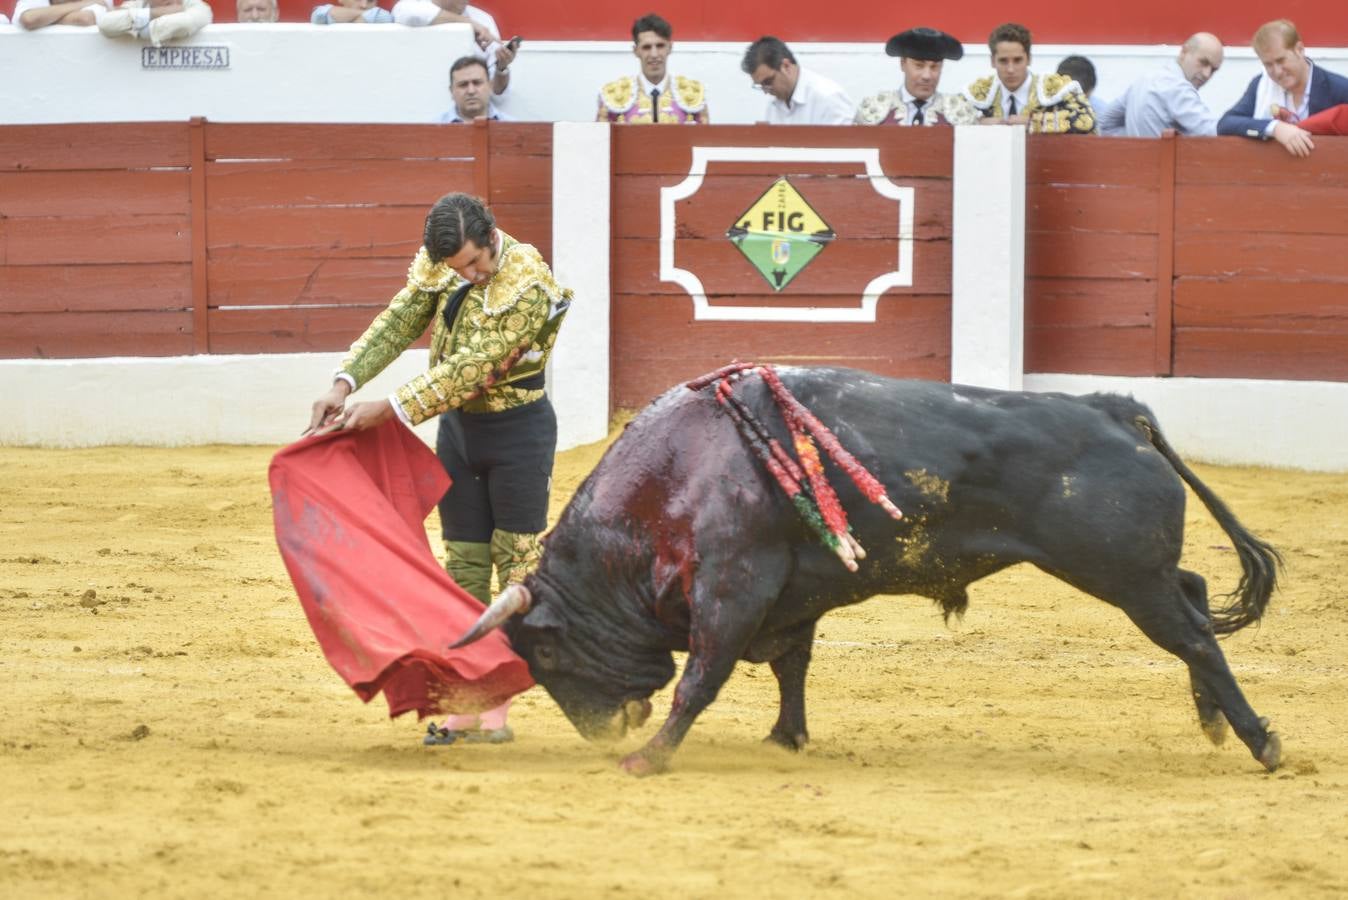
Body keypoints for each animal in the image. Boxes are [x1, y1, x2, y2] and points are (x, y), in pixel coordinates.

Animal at [455, 366, 1283, 776]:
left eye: (546, 648)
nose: (600, 732)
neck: (679, 472)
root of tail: (1113, 408)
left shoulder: (733, 589)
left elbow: (703, 678)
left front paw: (648, 758)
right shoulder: (789, 598)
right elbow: (792, 665)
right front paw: (785, 738)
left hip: (1120, 573)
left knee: (1193, 635)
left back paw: (1259, 741)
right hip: (1136, 571)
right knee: (1196, 600)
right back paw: (1213, 720)